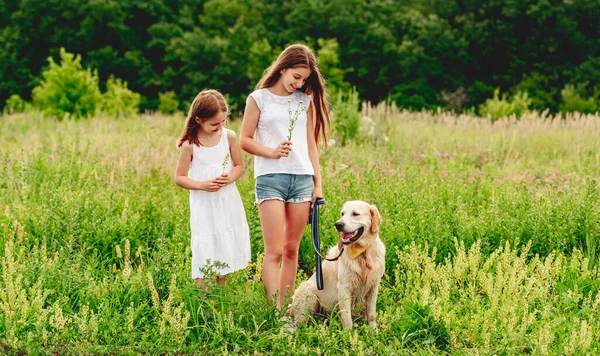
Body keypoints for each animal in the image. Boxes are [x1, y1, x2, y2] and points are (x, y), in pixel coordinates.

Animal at [288, 202, 386, 330]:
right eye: (342, 213)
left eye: (355, 214)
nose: (338, 224)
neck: (362, 253)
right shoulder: (344, 288)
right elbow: (347, 317)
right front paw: (348, 334)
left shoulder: (373, 287)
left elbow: (371, 313)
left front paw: (373, 330)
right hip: (308, 292)